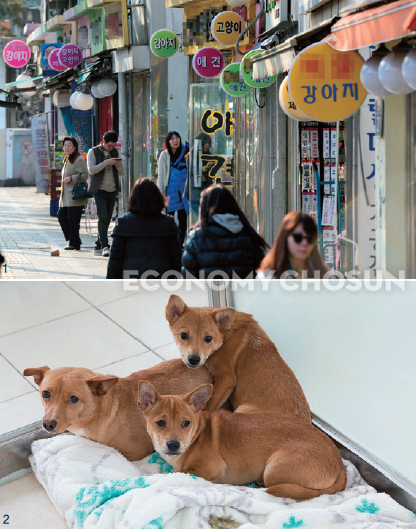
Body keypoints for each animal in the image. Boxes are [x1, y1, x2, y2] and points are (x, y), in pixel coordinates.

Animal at [138, 380, 346, 500]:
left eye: (186, 423)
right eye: (161, 422)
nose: (173, 445)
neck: (197, 435)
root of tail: (340, 465)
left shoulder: (209, 469)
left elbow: (175, 473)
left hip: (273, 470)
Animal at [164, 294, 310, 422]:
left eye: (208, 338)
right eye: (184, 335)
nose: (194, 359)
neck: (227, 334)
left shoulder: (226, 379)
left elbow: (210, 404)